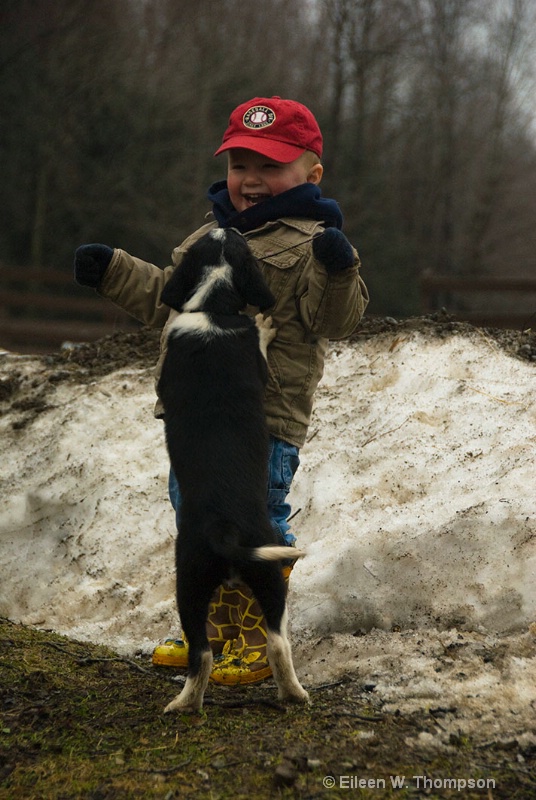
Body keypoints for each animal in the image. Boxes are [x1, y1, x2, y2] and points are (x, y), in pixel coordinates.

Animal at [159, 228, 308, 708]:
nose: (233, 227)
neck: (213, 305)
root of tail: (223, 530)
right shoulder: (255, 362)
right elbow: (259, 342)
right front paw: (265, 323)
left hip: (209, 582)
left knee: (230, 647)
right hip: (245, 572)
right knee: (240, 649)